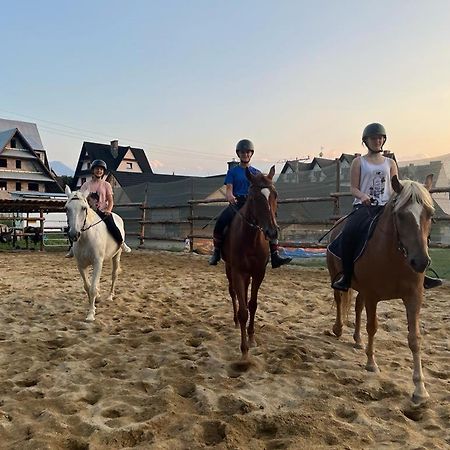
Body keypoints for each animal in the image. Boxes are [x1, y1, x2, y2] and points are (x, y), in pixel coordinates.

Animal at [63, 187, 127, 324]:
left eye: (84, 208)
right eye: (66, 208)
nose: (74, 234)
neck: (86, 237)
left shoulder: (98, 262)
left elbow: (92, 289)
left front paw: (91, 315)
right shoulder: (81, 265)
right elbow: (88, 287)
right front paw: (94, 302)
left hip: (116, 256)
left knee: (114, 275)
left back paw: (110, 296)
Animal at [221, 167, 280, 360]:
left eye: (275, 195)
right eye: (253, 198)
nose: (272, 232)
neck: (251, 239)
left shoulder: (258, 272)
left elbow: (252, 306)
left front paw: (252, 338)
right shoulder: (238, 272)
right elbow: (243, 311)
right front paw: (244, 350)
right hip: (229, 268)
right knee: (232, 292)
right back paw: (235, 322)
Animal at [326, 176, 436, 404]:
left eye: (430, 214)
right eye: (400, 215)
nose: (420, 262)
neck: (393, 256)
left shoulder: (414, 297)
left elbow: (415, 338)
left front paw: (420, 389)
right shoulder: (373, 295)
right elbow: (373, 327)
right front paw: (371, 363)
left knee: (357, 306)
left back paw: (357, 340)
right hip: (335, 276)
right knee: (340, 299)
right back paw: (338, 329)